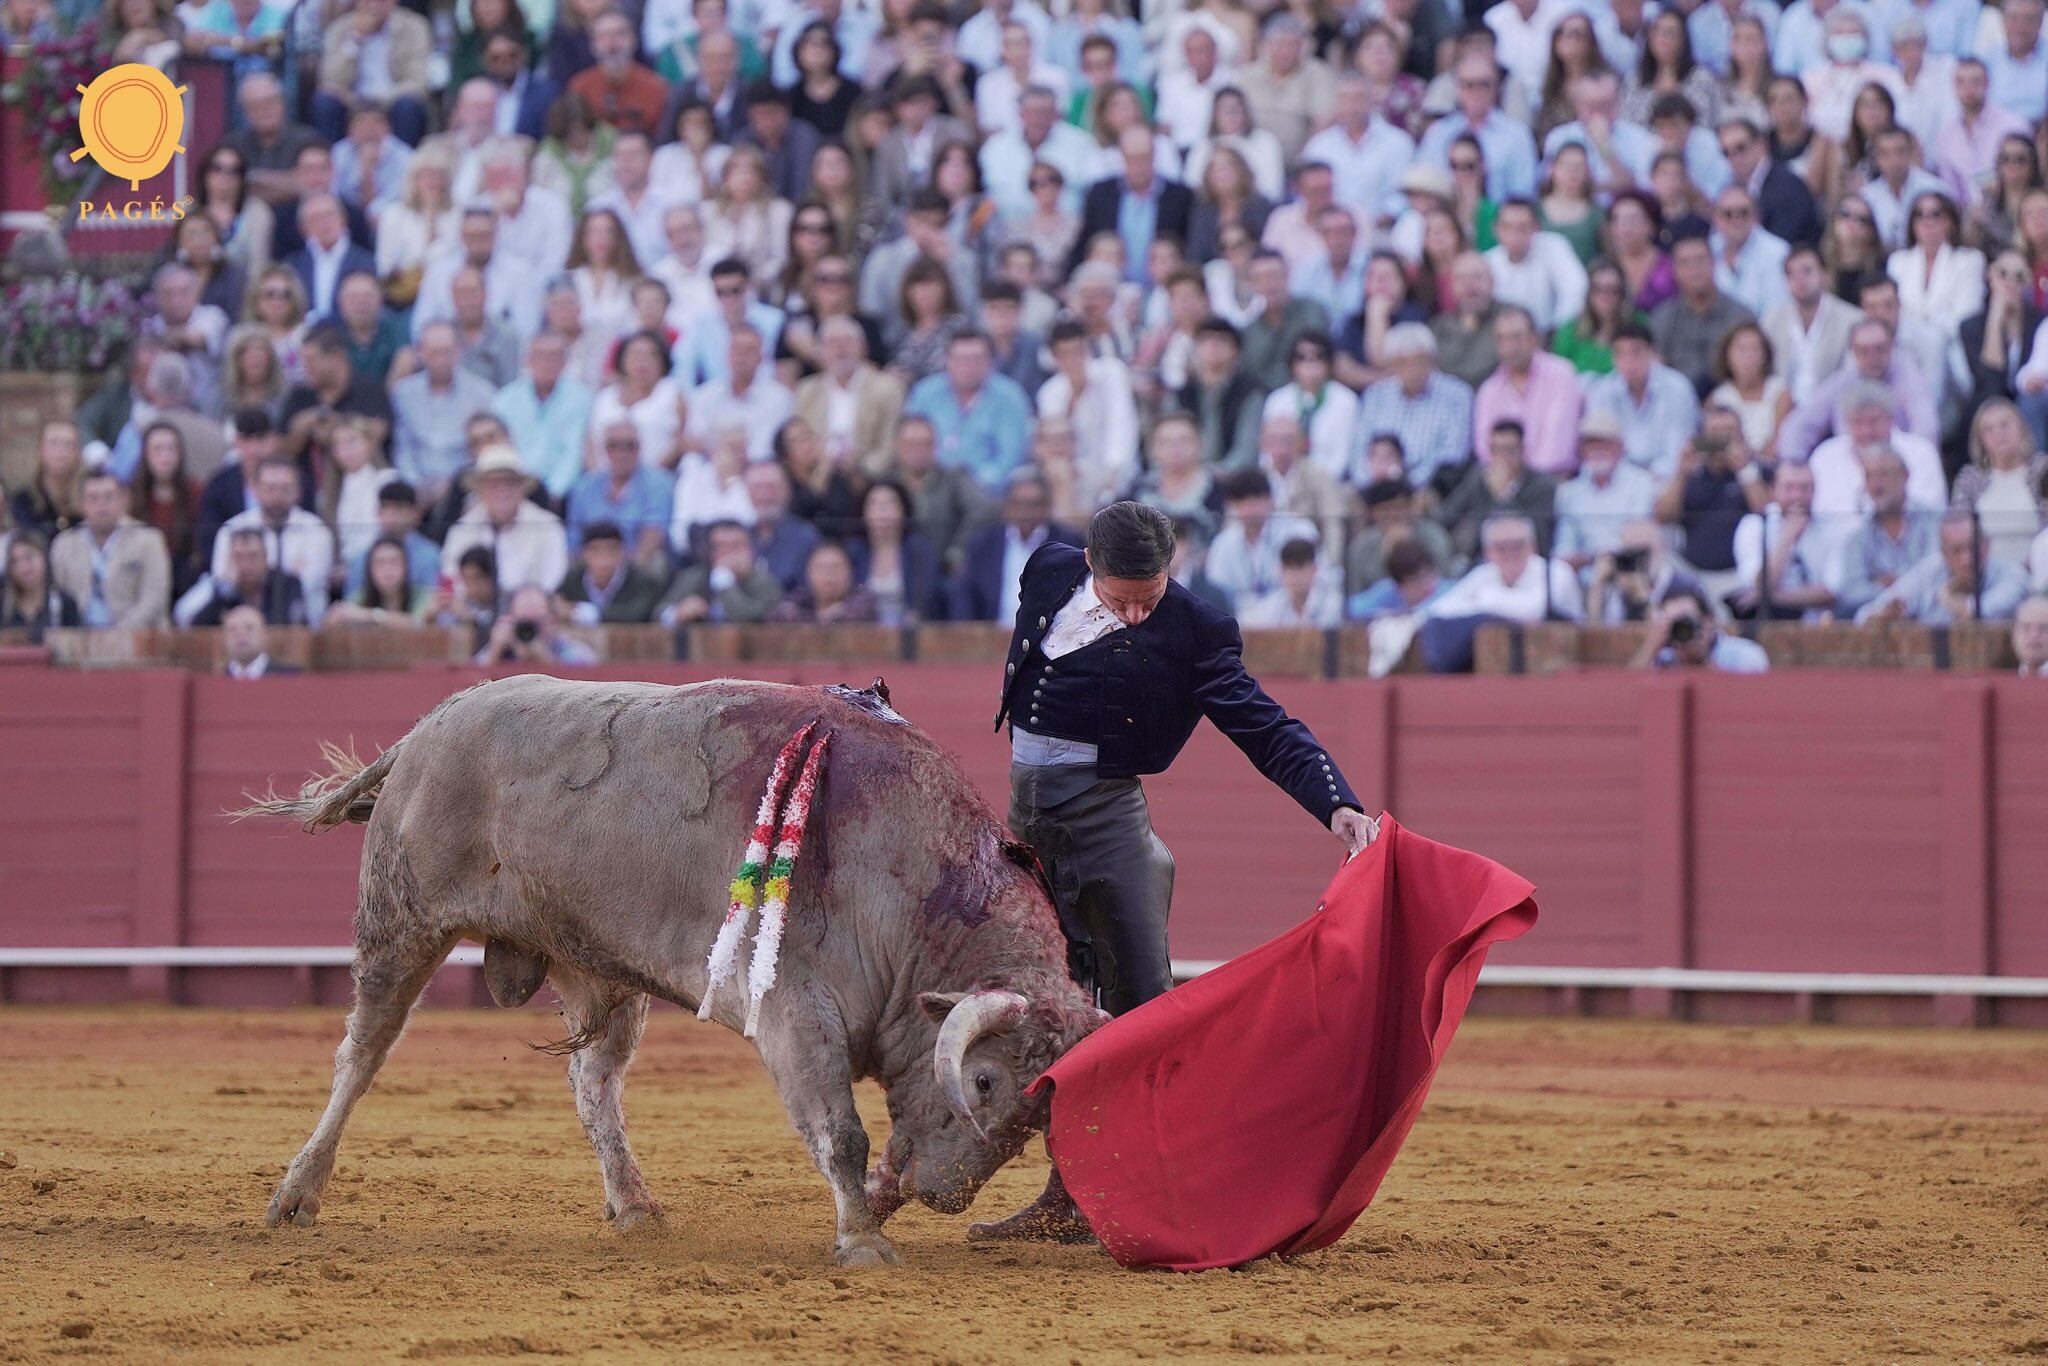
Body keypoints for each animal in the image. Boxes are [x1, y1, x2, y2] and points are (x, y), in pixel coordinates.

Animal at [243, 679, 1105, 1269]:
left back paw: (634, 1205)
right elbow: (843, 1133)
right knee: (361, 1056)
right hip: (401, 924)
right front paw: (863, 1243)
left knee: (593, 1082)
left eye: (1038, 1116)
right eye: (984, 1081)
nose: (948, 1195)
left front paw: (871, 1215)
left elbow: (875, 1145)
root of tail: (427, 728)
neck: (911, 887)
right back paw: (297, 1194)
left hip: (594, 962)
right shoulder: (794, 1013)